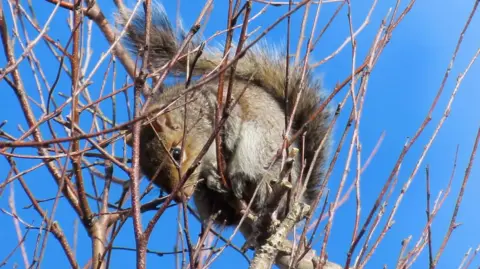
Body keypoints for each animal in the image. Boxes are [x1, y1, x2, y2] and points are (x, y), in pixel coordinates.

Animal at [118, 3, 332, 245]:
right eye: (150, 175)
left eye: (176, 153)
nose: (182, 196)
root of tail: (296, 195)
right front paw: (211, 178)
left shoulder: (223, 107)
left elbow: (233, 124)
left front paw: (227, 144)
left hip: (264, 148)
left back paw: (248, 182)